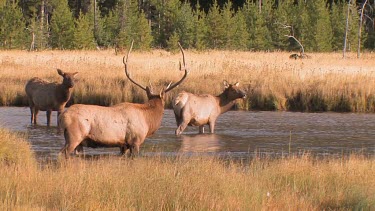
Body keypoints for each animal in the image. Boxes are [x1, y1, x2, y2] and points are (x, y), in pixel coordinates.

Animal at [59, 41, 189, 157]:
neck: (148, 119)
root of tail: (62, 117)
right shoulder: (135, 140)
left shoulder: (123, 145)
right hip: (74, 135)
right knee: (62, 153)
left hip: (79, 143)